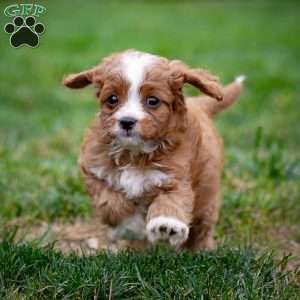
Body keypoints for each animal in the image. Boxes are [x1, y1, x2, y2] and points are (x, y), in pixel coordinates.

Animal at [63, 49, 244, 251]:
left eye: (153, 101)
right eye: (112, 99)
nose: (127, 121)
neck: (134, 153)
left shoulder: (174, 177)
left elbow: (171, 201)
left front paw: (166, 225)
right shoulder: (95, 172)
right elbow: (111, 202)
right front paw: (132, 226)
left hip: (208, 193)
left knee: (203, 225)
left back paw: (200, 250)